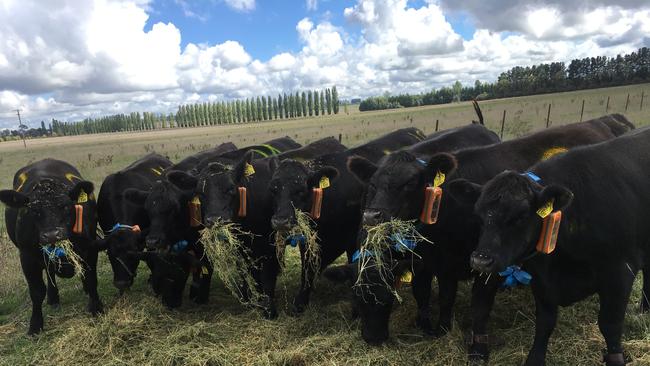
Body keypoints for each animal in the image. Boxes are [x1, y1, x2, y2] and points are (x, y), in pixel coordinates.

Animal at [0, 159, 100, 334]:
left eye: (65, 205)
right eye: (33, 210)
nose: (52, 234)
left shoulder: (90, 248)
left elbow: (91, 278)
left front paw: (96, 308)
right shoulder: (27, 258)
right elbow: (37, 292)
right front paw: (35, 325)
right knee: (50, 274)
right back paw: (53, 298)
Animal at [326, 114, 632, 348]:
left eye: (410, 183)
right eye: (373, 183)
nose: (372, 338)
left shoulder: (478, 261)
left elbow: (469, 303)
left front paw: (458, 335)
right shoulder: (431, 262)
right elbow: (429, 294)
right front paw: (430, 325)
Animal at [454, 125, 650, 364]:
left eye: (521, 216)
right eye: (479, 215)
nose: (481, 260)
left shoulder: (620, 273)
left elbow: (609, 324)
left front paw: (615, 359)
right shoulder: (542, 281)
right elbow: (545, 322)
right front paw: (535, 358)